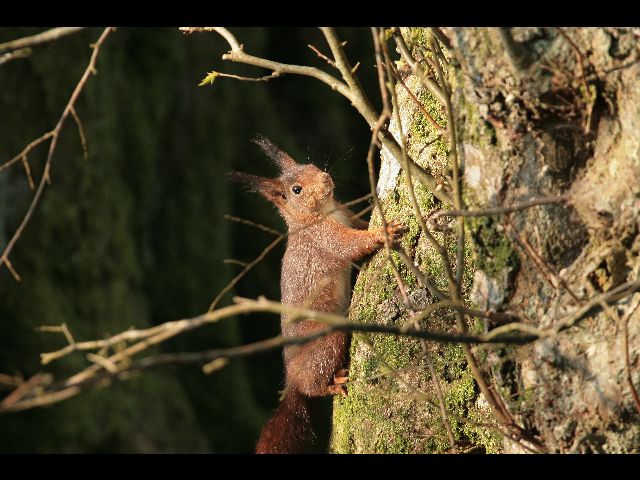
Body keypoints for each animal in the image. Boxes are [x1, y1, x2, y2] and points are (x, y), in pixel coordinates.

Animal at [230, 136, 404, 454]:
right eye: (296, 190)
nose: (325, 178)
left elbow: (360, 226)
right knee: (313, 386)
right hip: (325, 340)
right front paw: (384, 232)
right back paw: (330, 384)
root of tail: (293, 381)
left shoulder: (347, 216)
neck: (323, 212)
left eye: (309, 165)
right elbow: (350, 245)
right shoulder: (325, 238)